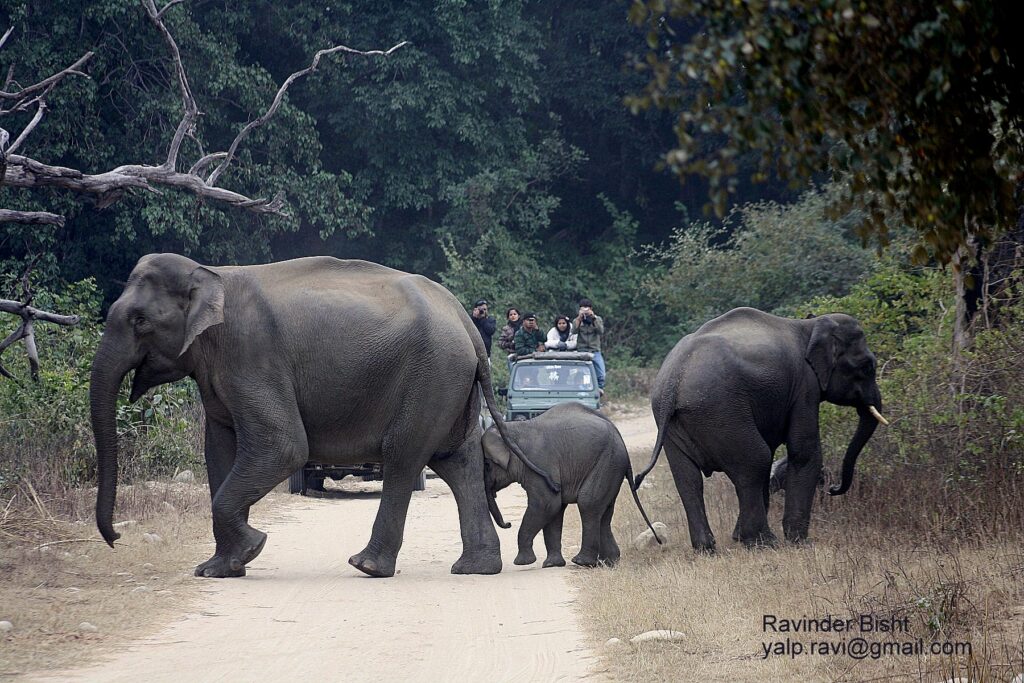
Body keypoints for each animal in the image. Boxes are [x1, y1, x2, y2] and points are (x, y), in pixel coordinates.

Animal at [91, 253, 557, 581]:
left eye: (140, 320)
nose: (115, 538)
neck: (209, 273)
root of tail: (464, 319)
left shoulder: (252, 355)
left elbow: (283, 448)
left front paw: (252, 548)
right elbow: (218, 448)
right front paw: (218, 570)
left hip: (432, 375)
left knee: (404, 456)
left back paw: (367, 566)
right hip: (450, 382)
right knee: (456, 462)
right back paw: (474, 569)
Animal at [481, 403, 659, 569]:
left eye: (487, 465)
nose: (508, 523)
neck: (512, 429)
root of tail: (621, 439)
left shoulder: (541, 463)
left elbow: (547, 504)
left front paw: (522, 563)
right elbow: (555, 509)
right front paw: (551, 565)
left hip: (607, 462)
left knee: (588, 503)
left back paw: (582, 562)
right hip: (613, 467)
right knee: (604, 512)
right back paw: (609, 562)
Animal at [630, 307, 888, 552]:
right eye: (867, 367)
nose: (833, 489)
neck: (810, 325)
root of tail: (673, 379)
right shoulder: (805, 387)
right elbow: (804, 452)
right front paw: (801, 542)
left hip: (675, 421)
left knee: (688, 479)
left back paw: (708, 548)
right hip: (721, 411)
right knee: (755, 461)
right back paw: (763, 543)